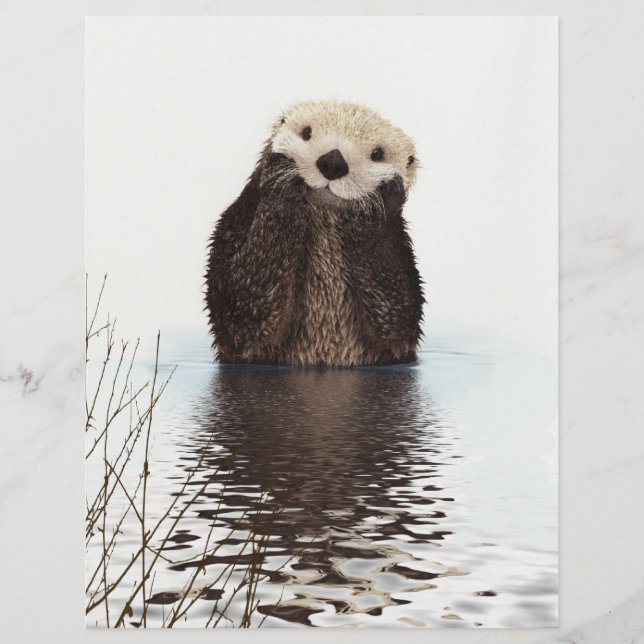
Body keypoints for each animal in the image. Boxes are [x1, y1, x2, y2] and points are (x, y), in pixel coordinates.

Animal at [205, 99, 424, 366]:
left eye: (377, 154)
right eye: (306, 133)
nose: (333, 162)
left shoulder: (400, 254)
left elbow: (397, 316)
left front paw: (379, 199)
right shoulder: (235, 223)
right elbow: (242, 307)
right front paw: (282, 177)